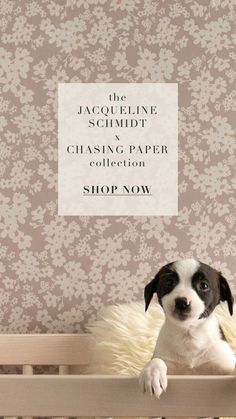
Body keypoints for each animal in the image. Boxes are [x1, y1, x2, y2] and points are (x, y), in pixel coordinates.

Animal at [139, 258, 235, 398]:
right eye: (169, 282)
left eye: (204, 285)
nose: (181, 302)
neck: (189, 334)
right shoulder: (167, 361)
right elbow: (156, 360)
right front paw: (152, 373)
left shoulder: (224, 365)